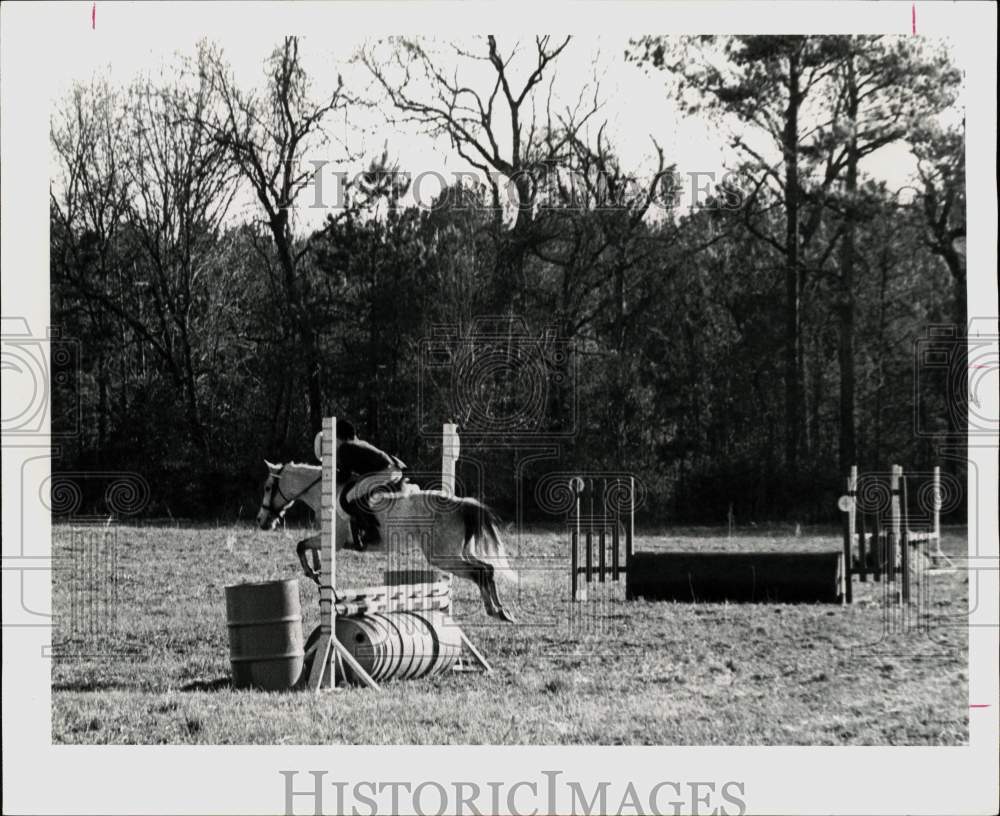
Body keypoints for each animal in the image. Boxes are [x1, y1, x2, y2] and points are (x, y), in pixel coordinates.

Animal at [258, 462, 516, 620]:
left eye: (268, 487)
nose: (262, 521)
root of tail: (461, 504)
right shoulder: (327, 539)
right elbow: (307, 548)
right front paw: (318, 571)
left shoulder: (336, 540)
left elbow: (300, 545)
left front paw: (312, 572)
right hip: (458, 552)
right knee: (487, 569)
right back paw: (502, 611)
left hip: (443, 556)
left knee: (480, 571)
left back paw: (495, 610)